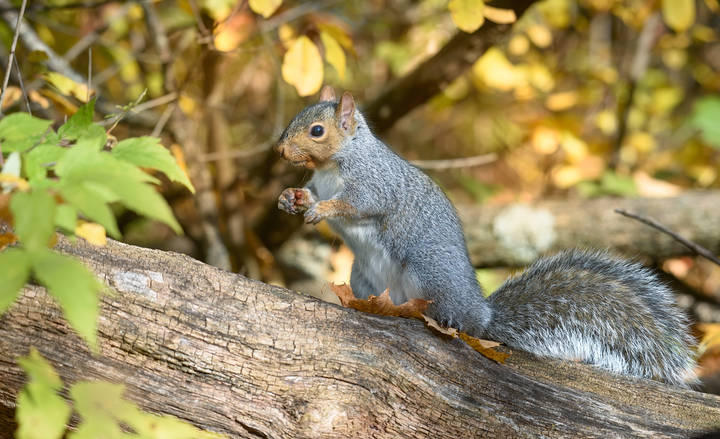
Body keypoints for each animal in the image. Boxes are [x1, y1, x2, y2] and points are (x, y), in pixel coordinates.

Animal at [275, 86, 697, 387]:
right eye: (295, 116)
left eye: (317, 131)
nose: (279, 150)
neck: (334, 166)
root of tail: (480, 314)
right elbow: (309, 193)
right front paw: (290, 198)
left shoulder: (376, 186)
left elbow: (357, 204)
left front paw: (321, 210)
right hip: (364, 276)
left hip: (428, 273)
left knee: (451, 324)